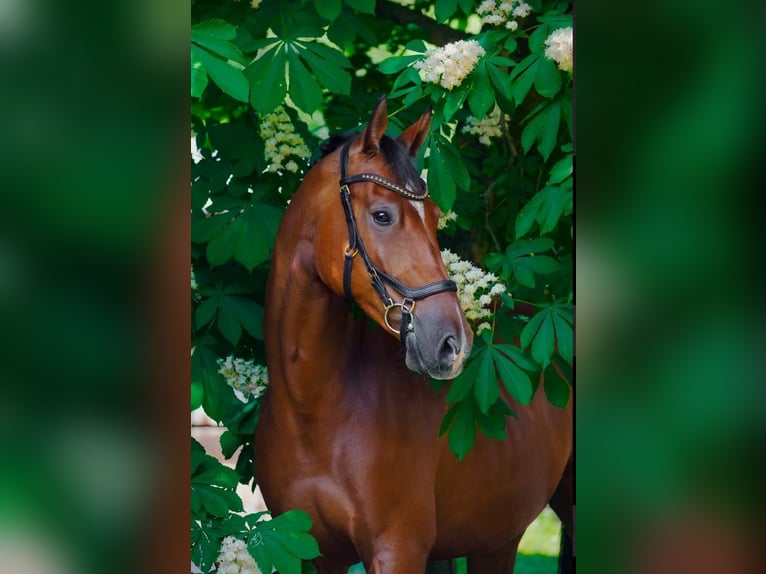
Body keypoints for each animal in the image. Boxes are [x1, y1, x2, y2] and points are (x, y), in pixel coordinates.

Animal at [255, 97, 572, 572]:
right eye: (382, 215)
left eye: (436, 217)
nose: (453, 344)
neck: (313, 407)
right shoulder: (309, 552)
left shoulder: (397, 548)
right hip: (497, 539)